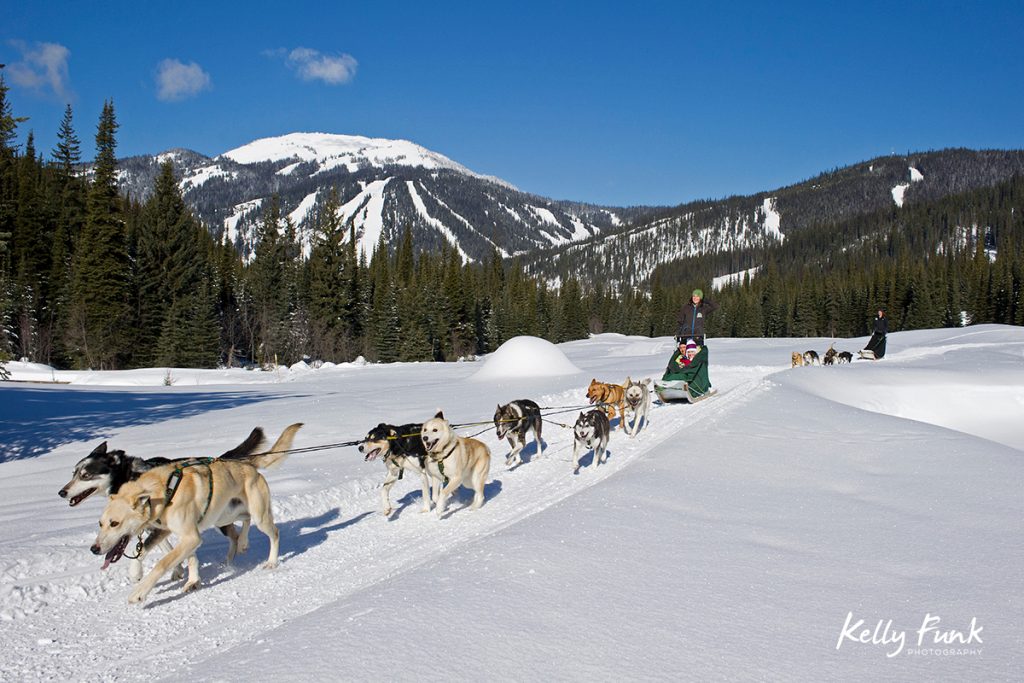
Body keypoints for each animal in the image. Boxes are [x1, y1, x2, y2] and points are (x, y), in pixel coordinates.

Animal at [91, 421, 301, 602]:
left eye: (114, 523)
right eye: (100, 523)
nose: (94, 549)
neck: (165, 490)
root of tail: (248, 464)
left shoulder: (190, 536)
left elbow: (163, 563)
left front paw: (139, 593)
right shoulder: (175, 533)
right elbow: (180, 556)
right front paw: (190, 580)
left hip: (259, 515)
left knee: (273, 532)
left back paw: (271, 561)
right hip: (223, 516)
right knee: (245, 520)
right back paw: (242, 543)